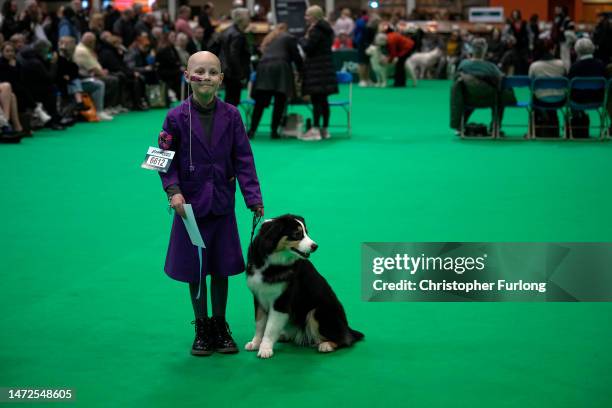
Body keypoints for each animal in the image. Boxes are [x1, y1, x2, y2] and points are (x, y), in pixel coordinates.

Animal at [246, 215, 364, 358]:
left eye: (306, 232)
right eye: (297, 234)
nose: (315, 246)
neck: (271, 264)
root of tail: (348, 328)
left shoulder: (281, 301)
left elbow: (270, 327)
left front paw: (265, 348)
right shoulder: (259, 296)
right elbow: (259, 324)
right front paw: (255, 343)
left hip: (318, 311)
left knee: (345, 339)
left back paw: (326, 345)